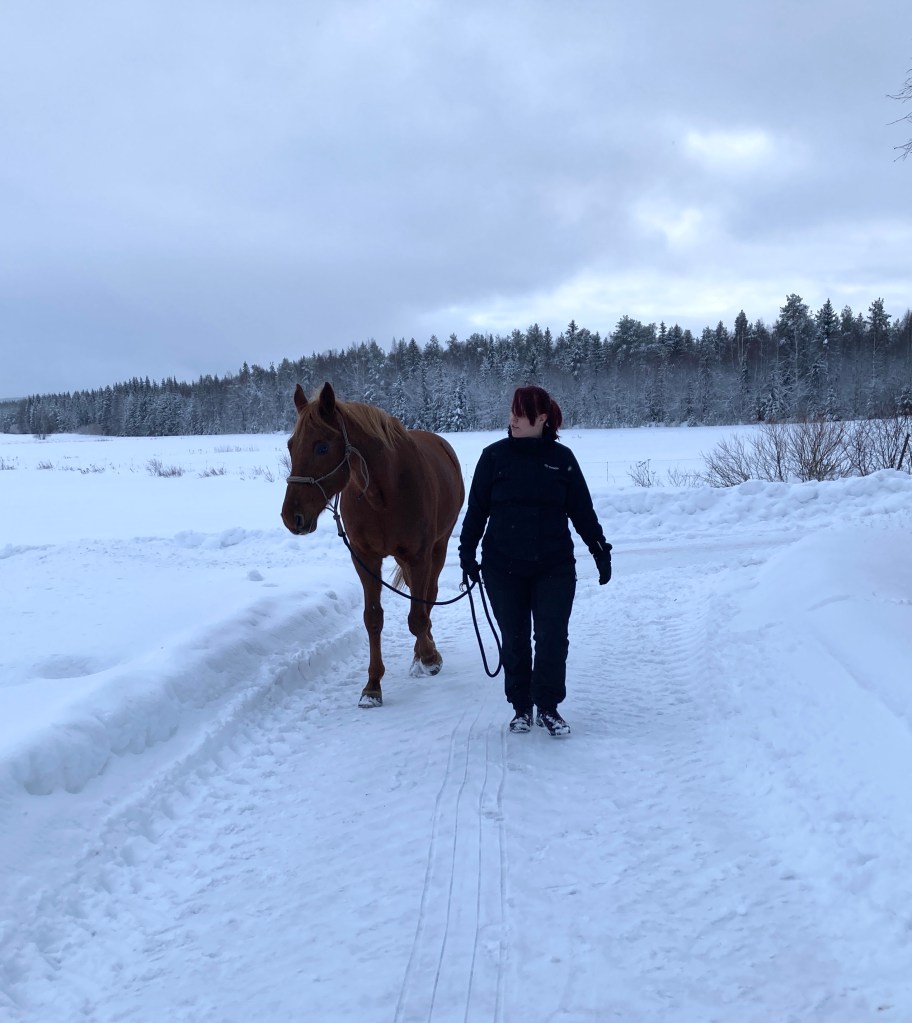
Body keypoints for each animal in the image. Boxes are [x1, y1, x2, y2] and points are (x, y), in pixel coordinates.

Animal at [281, 382, 465, 707]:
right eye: (291, 445)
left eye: (322, 447)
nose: (292, 516)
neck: (383, 494)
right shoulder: (365, 558)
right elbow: (373, 619)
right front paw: (372, 685)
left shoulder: (419, 555)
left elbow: (417, 617)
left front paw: (429, 656)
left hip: (438, 548)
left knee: (428, 597)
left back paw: (424, 653)